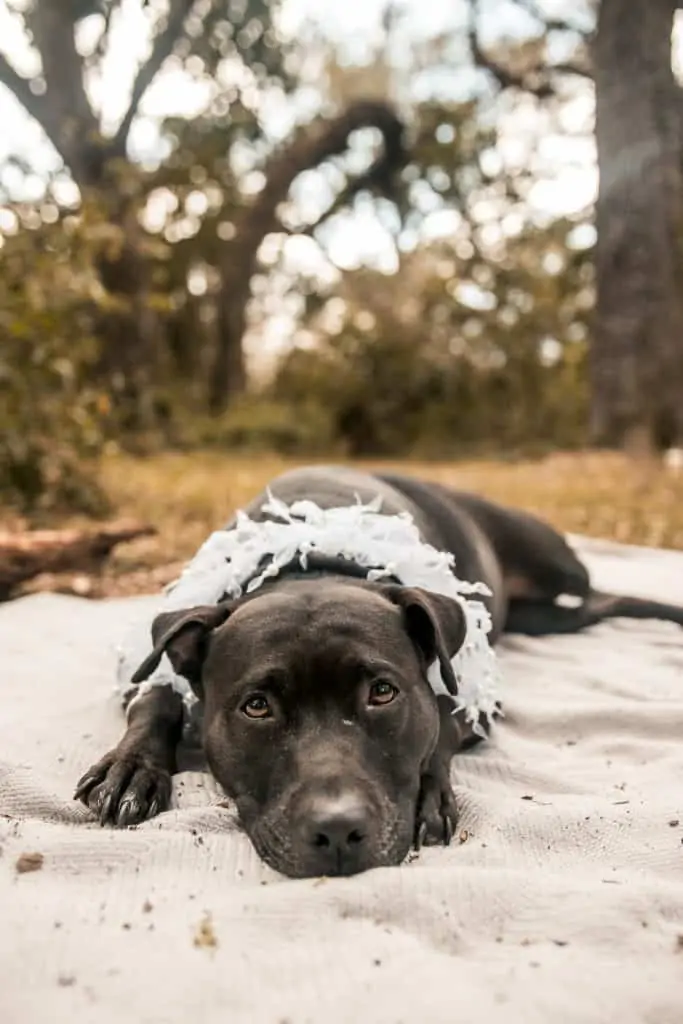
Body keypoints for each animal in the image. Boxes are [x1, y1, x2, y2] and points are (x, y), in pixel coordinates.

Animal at [74, 468, 683, 876]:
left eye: (383, 693)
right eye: (257, 706)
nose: (338, 830)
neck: (308, 566)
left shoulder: (471, 696)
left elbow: (439, 723)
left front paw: (428, 797)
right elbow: (156, 698)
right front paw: (130, 769)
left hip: (557, 564)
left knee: (600, 592)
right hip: (548, 615)